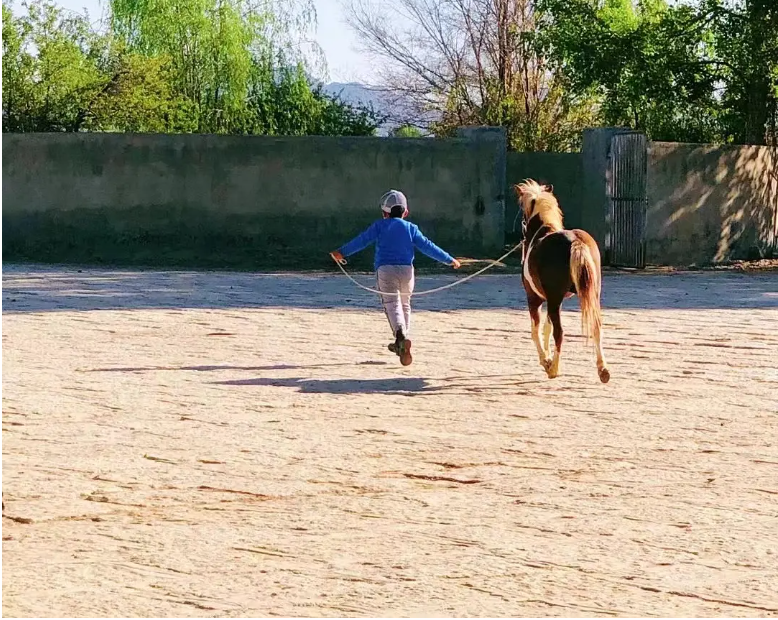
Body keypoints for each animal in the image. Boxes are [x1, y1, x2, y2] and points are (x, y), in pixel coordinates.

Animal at [514, 179, 610, 384]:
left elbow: (536, 330)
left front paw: (546, 360)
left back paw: (554, 370)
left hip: (552, 299)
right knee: (596, 327)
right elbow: (546, 328)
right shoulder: (553, 302)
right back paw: (603, 370)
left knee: (560, 333)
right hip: (592, 295)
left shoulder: (535, 298)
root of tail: (575, 242)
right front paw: (548, 357)